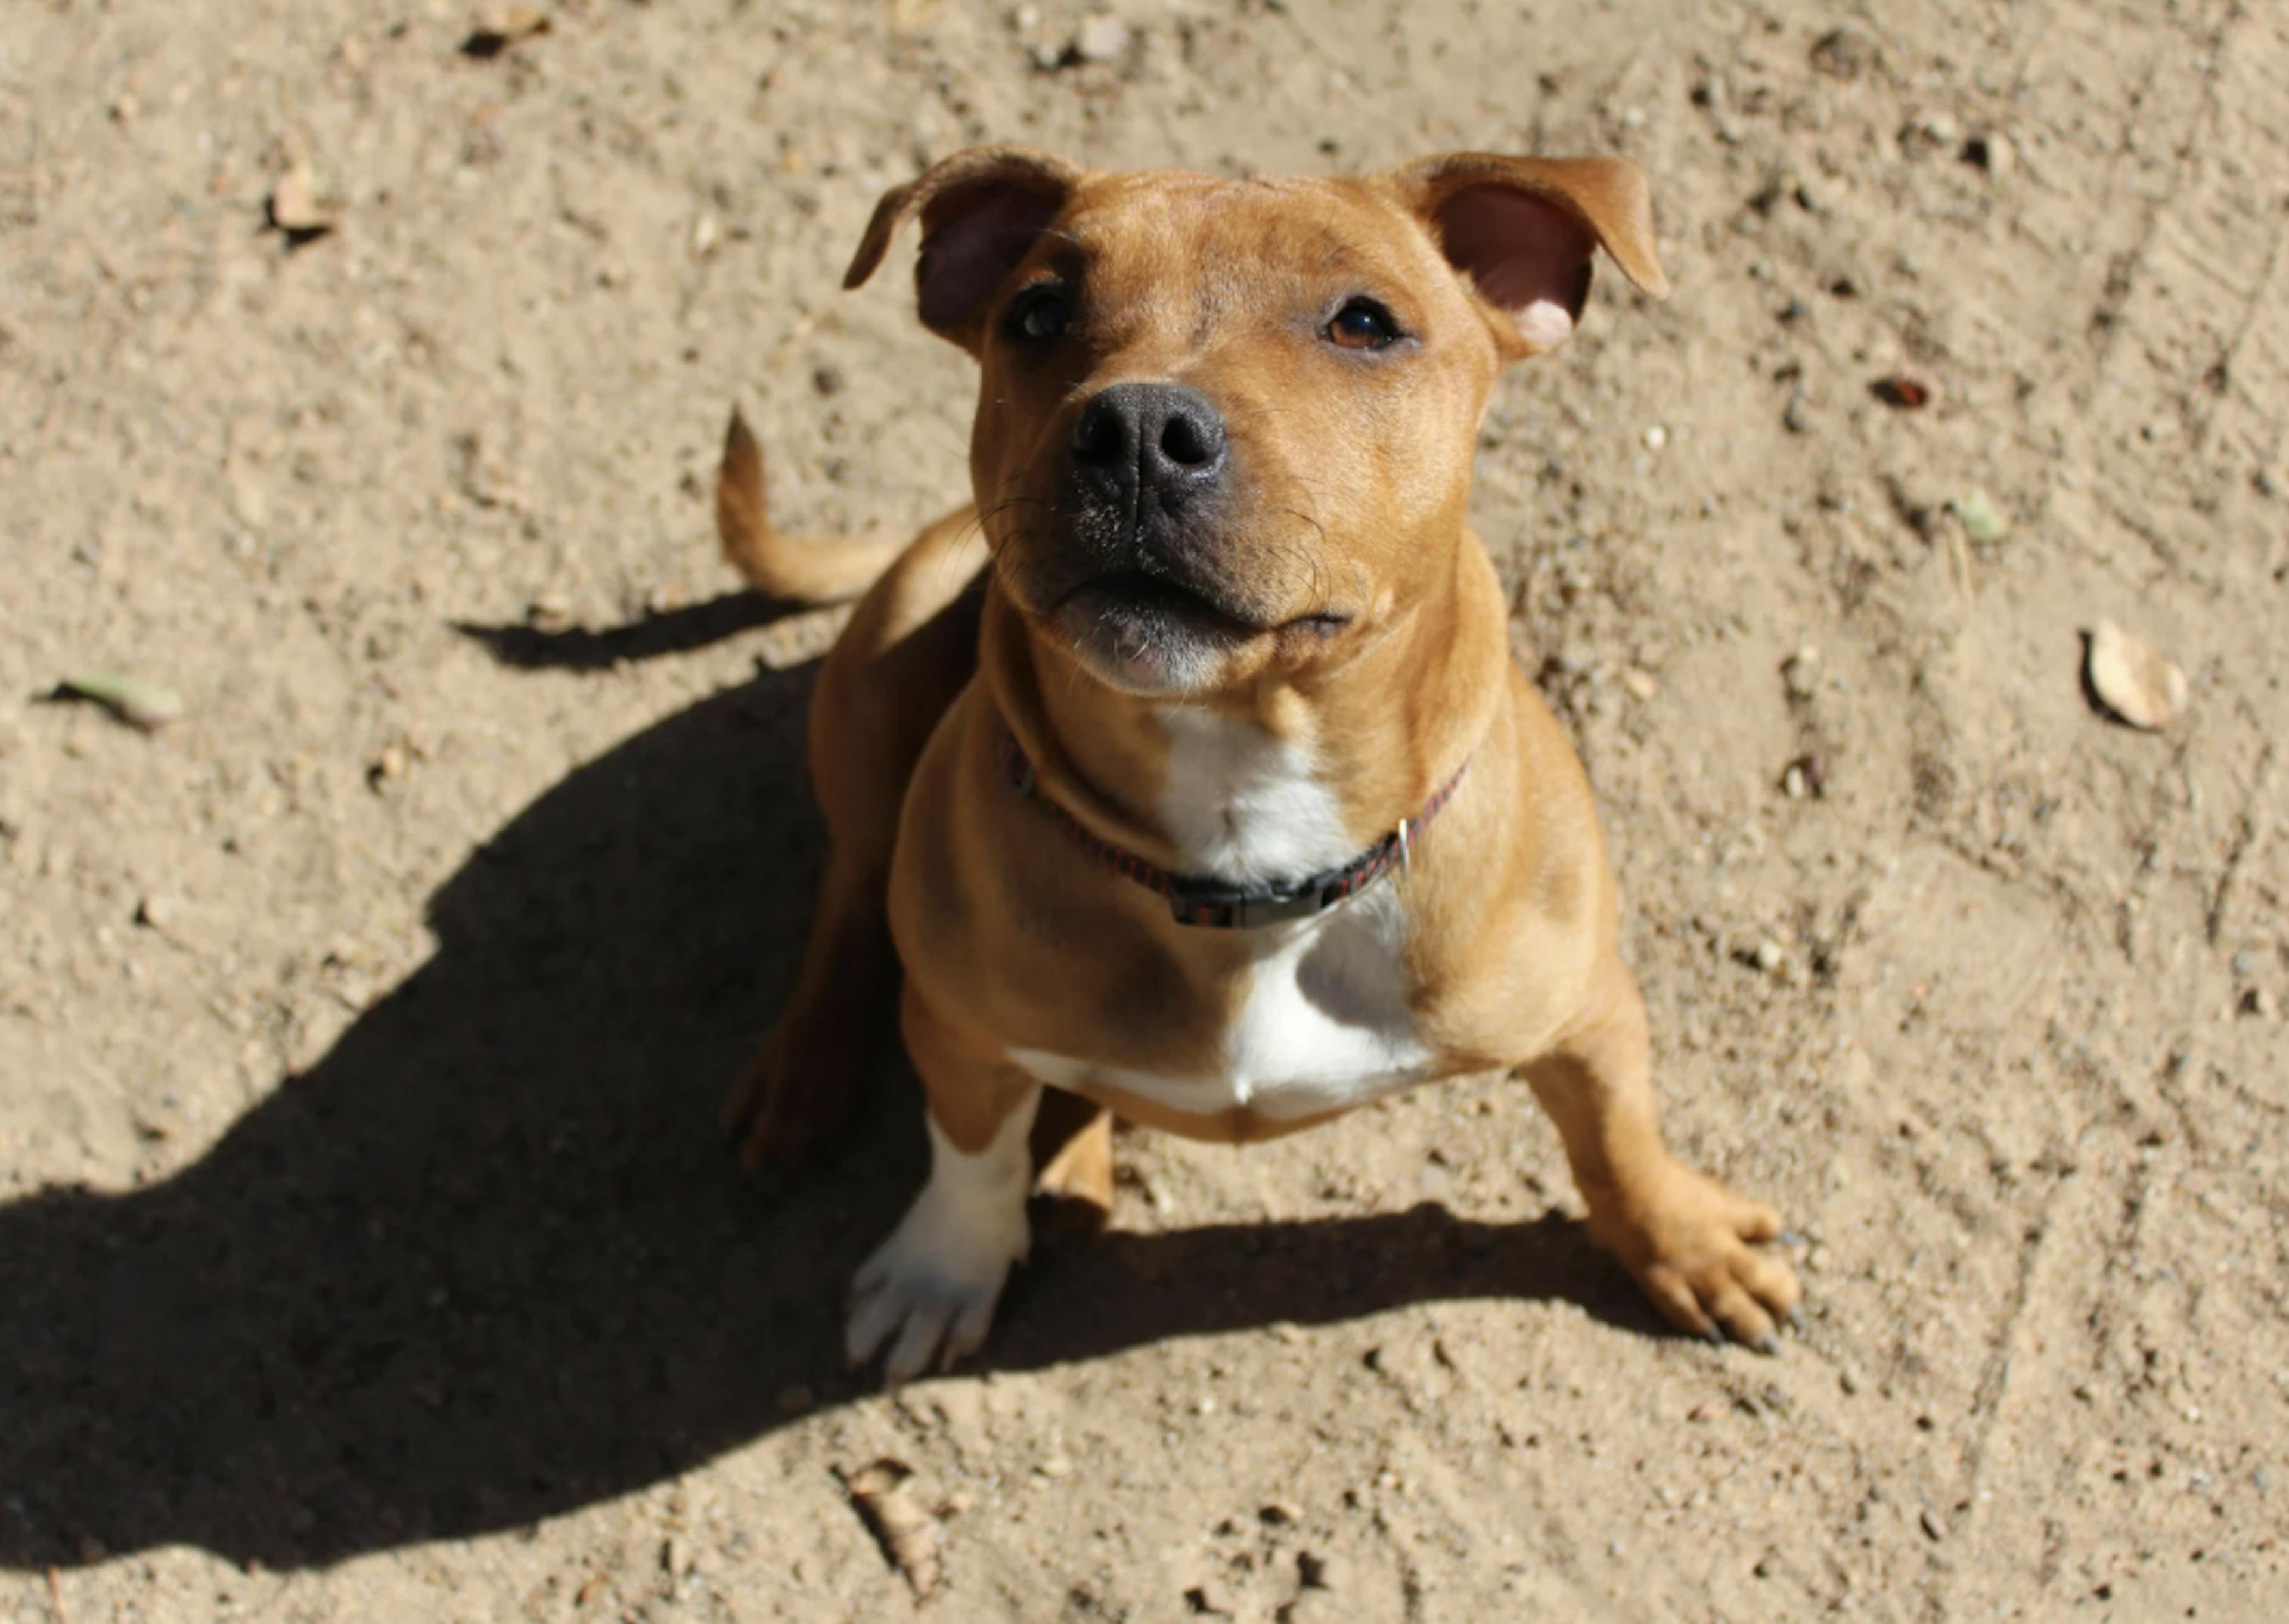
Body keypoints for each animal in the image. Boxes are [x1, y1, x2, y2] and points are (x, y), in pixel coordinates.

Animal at [723, 146, 1794, 1390]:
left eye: (1365, 323)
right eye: (1038, 315)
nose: (1138, 426)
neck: (1248, 830)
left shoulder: (1588, 1013)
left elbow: (1620, 1138)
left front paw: (1686, 1242)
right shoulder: (959, 1027)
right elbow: (970, 1153)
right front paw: (943, 1271)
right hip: (886, 659)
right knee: (850, 894)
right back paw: (809, 1080)